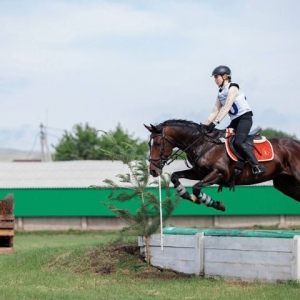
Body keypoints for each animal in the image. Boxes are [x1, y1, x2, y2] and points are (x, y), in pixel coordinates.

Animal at [144, 118, 300, 212]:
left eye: (157, 143)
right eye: (149, 144)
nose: (153, 171)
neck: (203, 144)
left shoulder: (220, 173)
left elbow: (196, 187)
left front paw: (216, 204)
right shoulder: (198, 172)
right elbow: (175, 177)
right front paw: (188, 196)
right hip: (283, 183)